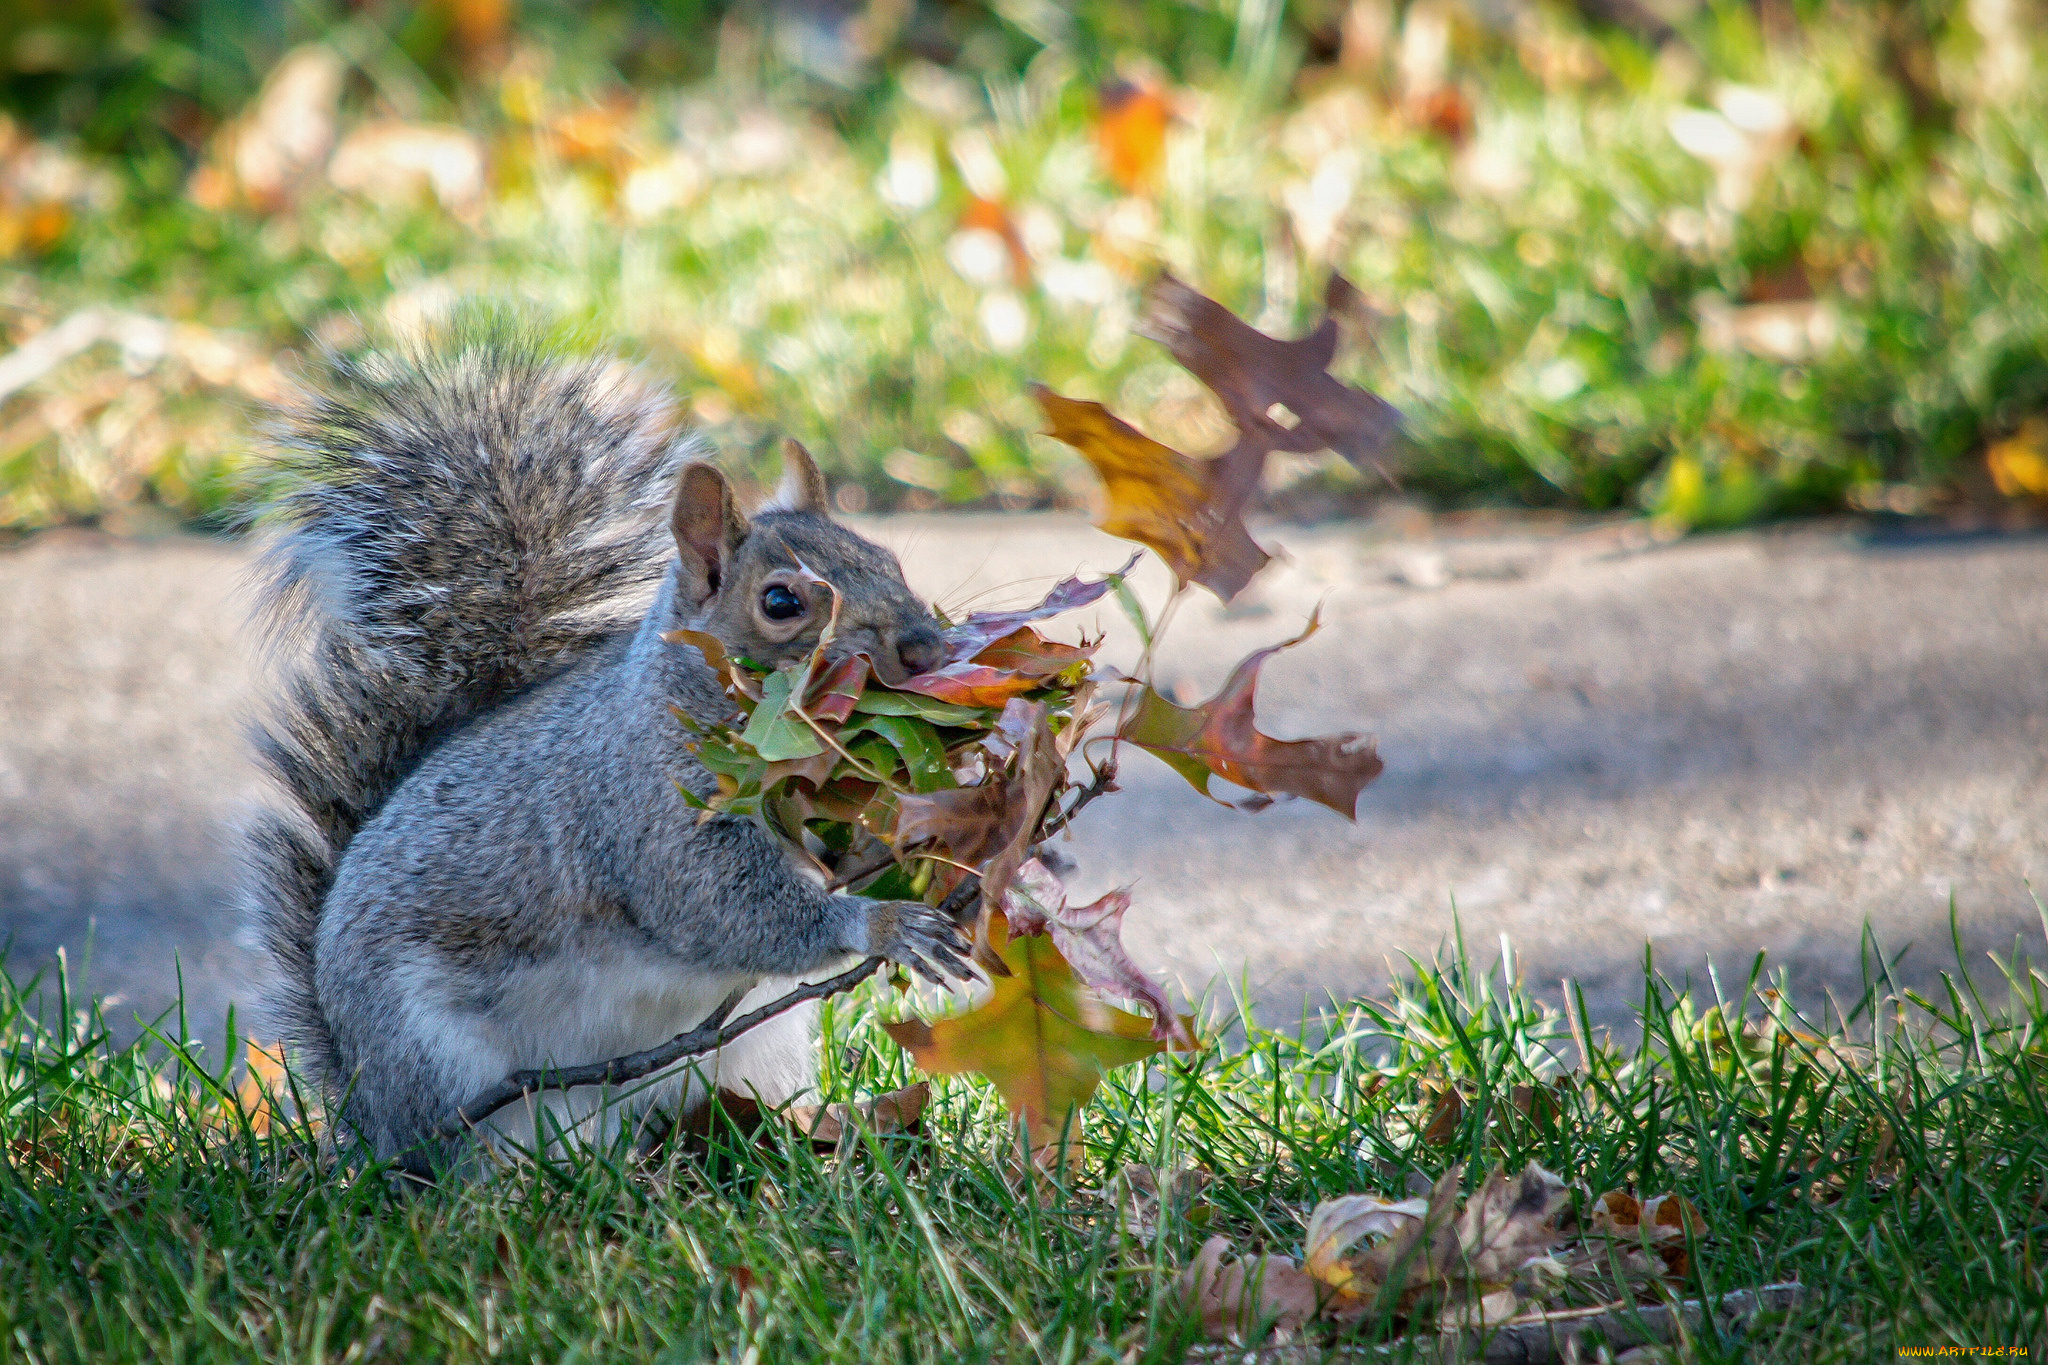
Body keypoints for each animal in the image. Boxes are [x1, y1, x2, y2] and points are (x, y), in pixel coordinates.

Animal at [239, 333, 974, 1178]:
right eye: (782, 602)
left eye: (887, 559)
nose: (926, 647)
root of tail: (369, 1118)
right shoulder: (647, 811)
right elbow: (722, 907)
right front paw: (882, 923)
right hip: (443, 1065)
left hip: (746, 1047)